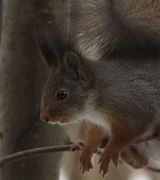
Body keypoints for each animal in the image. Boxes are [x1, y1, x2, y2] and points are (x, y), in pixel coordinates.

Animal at [34, 15, 160, 176]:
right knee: (142, 162)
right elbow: (95, 136)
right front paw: (87, 149)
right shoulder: (98, 124)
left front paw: (110, 150)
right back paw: (128, 154)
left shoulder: (137, 107)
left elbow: (127, 133)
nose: (44, 117)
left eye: (62, 94)